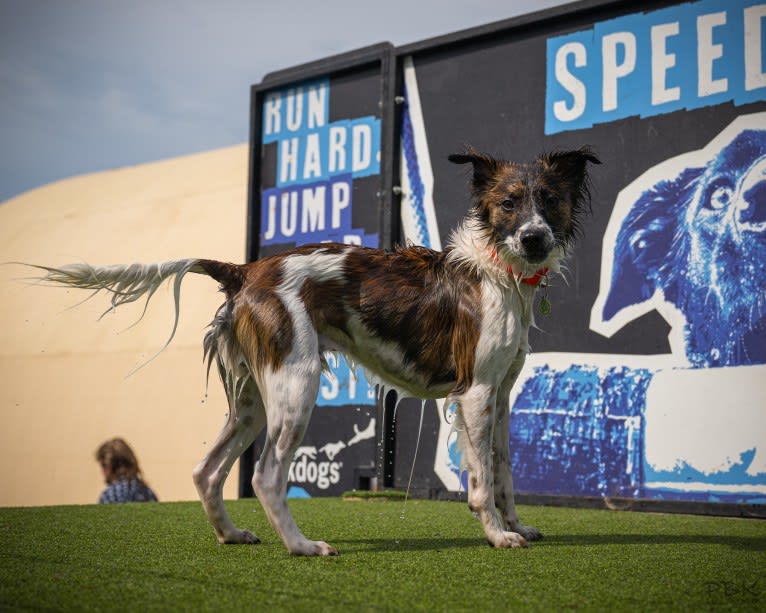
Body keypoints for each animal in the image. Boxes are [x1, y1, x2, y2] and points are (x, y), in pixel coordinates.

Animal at [28, 147, 600, 556]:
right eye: (508, 203)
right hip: (295, 388)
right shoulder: (476, 393)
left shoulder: (500, 397)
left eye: (550, 201)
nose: (534, 239)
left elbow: (505, 472)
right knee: (265, 477)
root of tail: (244, 270)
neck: (495, 272)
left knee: (206, 470)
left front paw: (519, 524)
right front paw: (498, 535)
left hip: (255, 402)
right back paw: (301, 546)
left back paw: (231, 535)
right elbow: (482, 480)